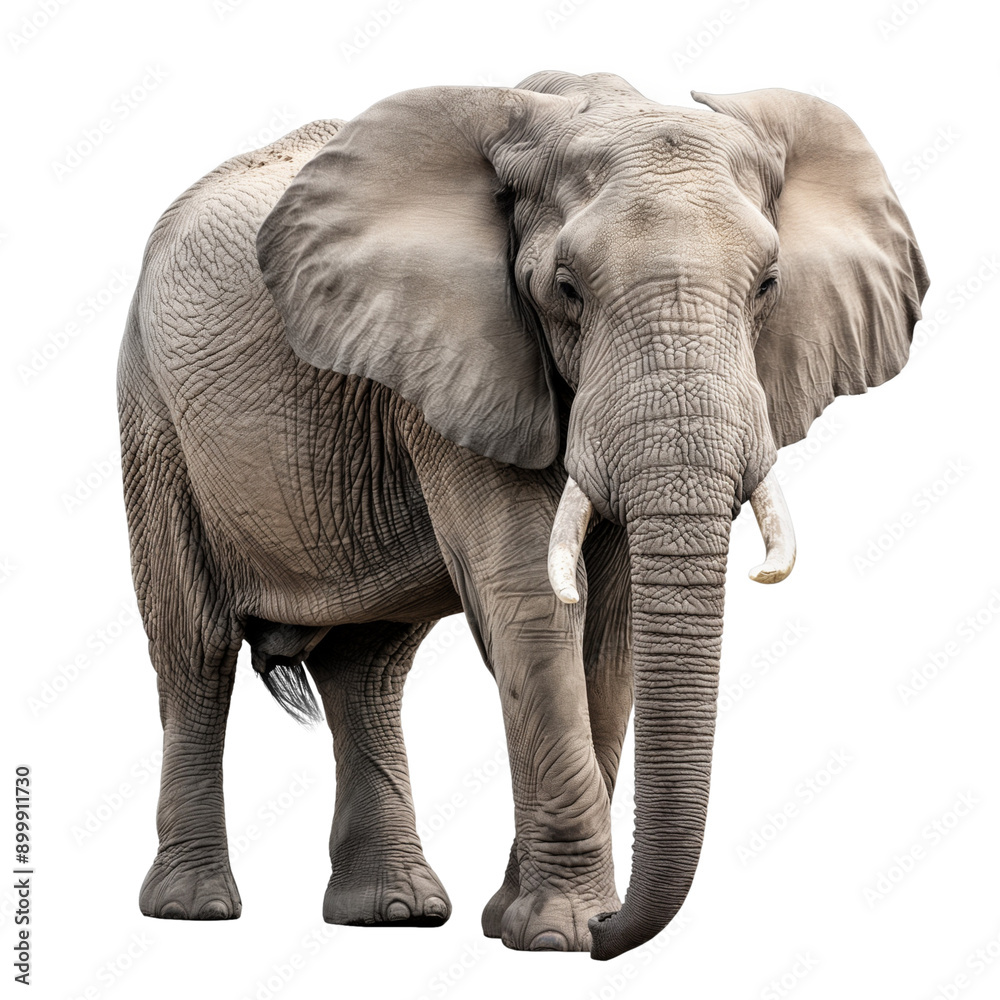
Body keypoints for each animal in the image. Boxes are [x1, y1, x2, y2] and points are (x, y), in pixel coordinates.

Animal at [117, 70, 927, 961]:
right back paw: (193, 909)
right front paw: (560, 933)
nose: (613, 932)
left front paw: (521, 921)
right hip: (152, 412)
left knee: (368, 667)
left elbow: (612, 625)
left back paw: (393, 913)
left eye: (768, 286)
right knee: (193, 645)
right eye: (566, 289)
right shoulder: (458, 358)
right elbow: (534, 602)